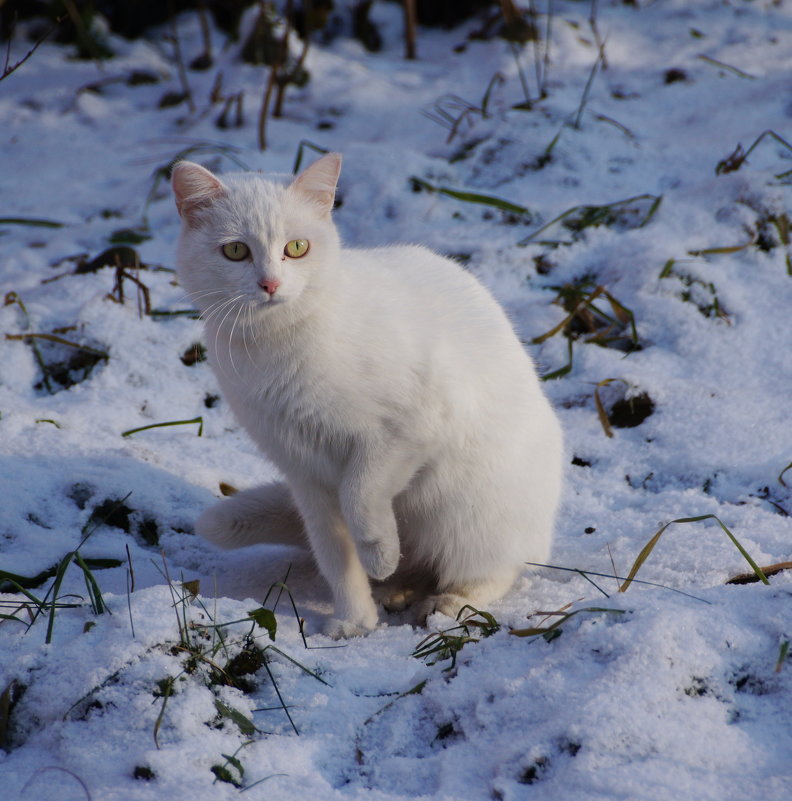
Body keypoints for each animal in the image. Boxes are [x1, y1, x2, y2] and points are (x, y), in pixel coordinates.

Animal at [172, 153, 564, 636]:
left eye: (297, 248)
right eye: (235, 251)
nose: (270, 284)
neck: (277, 347)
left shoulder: (408, 431)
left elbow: (360, 495)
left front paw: (378, 553)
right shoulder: (305, 475)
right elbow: (336, 557)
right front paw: (354, 621)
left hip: (472, 517)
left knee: (495, 571)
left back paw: (447, 600)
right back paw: (396, 589)